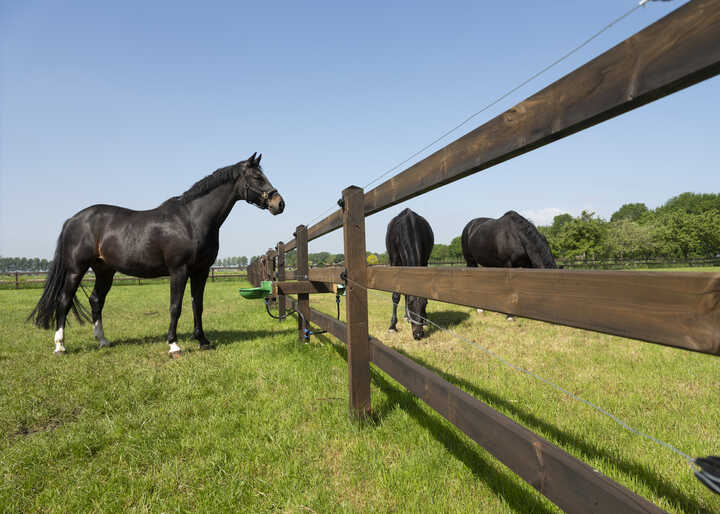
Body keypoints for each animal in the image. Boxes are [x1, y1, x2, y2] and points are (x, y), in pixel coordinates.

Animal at [30, 152, 284, 354]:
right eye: (257, 178)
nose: (279, 203)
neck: (191, 220)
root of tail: (73, 219)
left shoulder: (200, 272)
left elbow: (197, 305)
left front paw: (202, 341)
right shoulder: (179, 271)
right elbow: (176, 306)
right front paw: (173, 344)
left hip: (104, 271)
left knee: (96, 300)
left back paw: (103, 340)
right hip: (76, 269)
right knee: (64, 301)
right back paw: (60, 346)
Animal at [388, 206, 434, 338]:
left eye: (425, 304)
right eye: (410, 304)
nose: (418, 334)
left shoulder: (424, 261)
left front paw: (425, 320)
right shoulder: (395, 263)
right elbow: (396, 296)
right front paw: (392, 326)